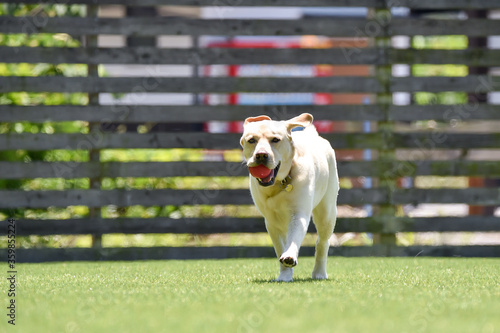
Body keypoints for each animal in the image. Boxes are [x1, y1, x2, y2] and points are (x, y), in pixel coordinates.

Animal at [239, 113, 340, 282]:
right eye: (251, 140)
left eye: (275, 140)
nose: (261, 155)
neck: (281, 182)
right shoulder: (271, 221)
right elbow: (280, 247)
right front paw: (285, 274)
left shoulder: (299, 214)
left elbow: (294, 237)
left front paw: (289, 256)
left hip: (327, 211)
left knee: (322, 242)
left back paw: (319, 272)